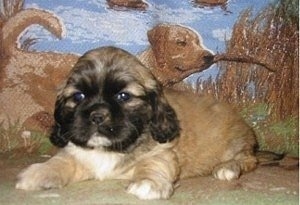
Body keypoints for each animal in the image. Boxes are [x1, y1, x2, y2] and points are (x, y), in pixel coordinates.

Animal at [14, 46, 258, 200]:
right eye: (78, 96)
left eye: (123, 96)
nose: (97, 115)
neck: (110, 149)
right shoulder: (78, 154)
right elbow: (61, 161)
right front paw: (39, 173)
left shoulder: (162, 153)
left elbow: (152, 164)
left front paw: (147, 182)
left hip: (236, 145)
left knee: (249, 160)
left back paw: (227, 168)